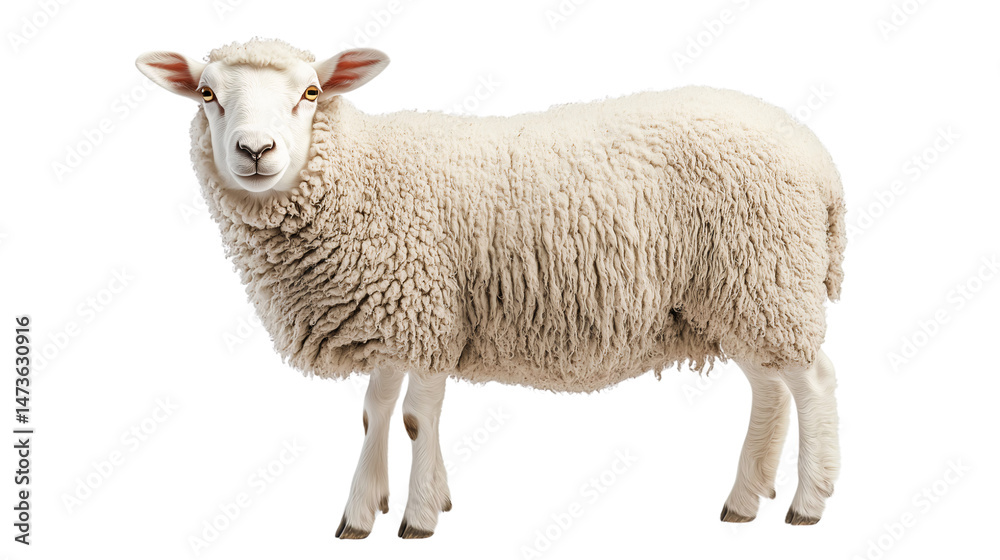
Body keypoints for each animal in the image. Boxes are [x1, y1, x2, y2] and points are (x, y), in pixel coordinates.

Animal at [136, 38, 846, 538]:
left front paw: (417, 516)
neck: (362, 178)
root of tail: (817, 158)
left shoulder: (427, 311)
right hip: (742, 293)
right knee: (769, 390)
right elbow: (375, 411)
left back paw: (807, 505)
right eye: (206, 93)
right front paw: (366, 511)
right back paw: (744, 501)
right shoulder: (393, 312)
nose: (255, 150)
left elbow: (417, 417)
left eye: (311, 92)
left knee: (812, 384)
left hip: (769, 278)